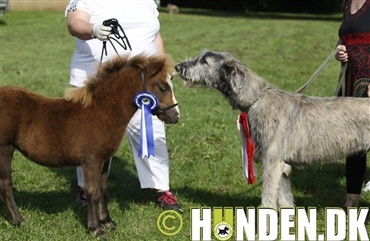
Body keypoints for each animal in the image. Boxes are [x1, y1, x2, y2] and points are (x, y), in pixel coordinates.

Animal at [0, 53, 179, 236]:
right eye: (163, 87)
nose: (175, 116)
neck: (102, 111)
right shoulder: (91, 160)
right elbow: (93, 192)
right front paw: (95, 228)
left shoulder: (105, 160)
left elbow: (103, 190)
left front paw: (107, 221)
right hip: (5, 149)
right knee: (6, 185)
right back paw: (19, 220)